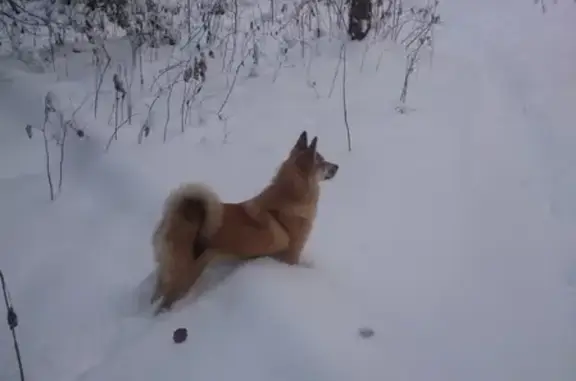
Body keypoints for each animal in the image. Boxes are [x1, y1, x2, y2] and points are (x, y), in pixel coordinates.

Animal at [150, 131, 338, 312]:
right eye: (322, 162)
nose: (337, 166)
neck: (289, 197)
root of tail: (178, 215)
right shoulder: (291, 256)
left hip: (167, 273)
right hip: (185, 276)